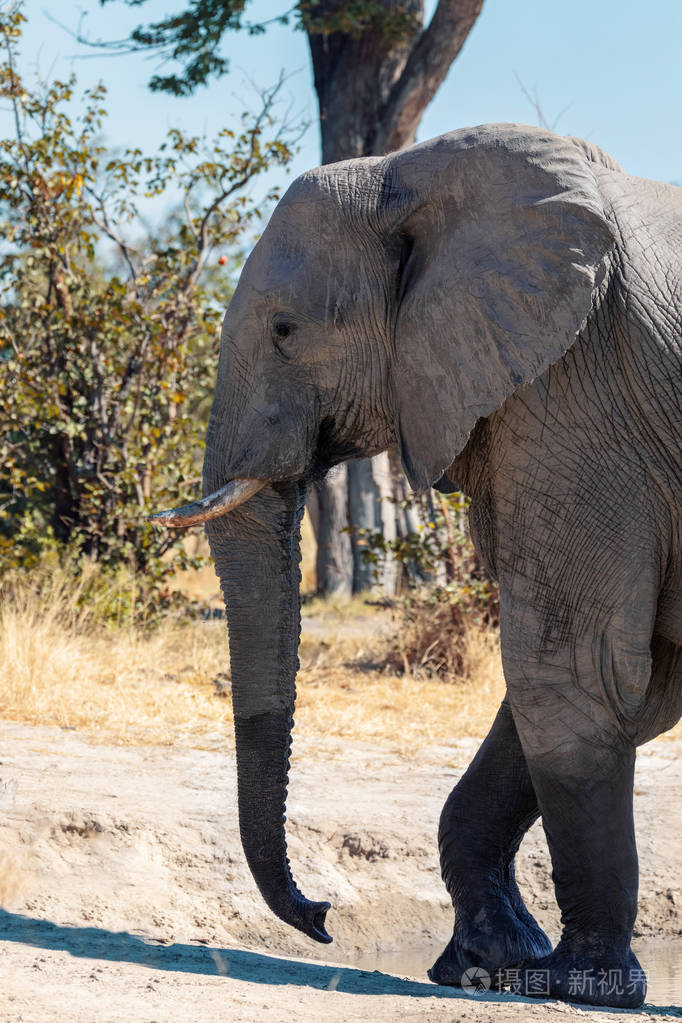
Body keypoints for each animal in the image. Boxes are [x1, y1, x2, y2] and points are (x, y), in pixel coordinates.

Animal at [153, 123, 682, 1009]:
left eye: (285, 331)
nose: (322, 916)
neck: (409, 172)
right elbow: (621, 686)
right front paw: (484, 961)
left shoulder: (578, 381)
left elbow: (573, 667)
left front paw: (578, 982)